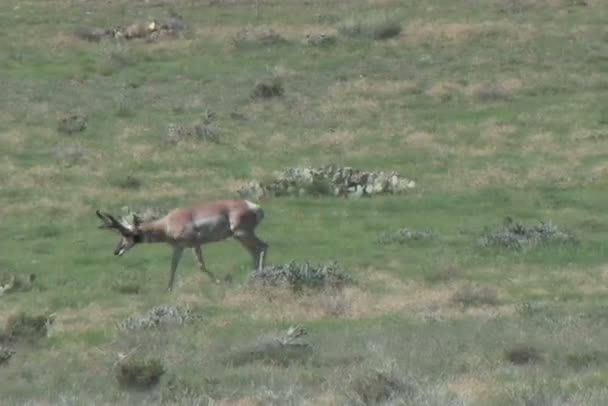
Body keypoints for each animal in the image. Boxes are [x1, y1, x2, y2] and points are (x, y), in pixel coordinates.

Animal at [96, 199, 268, 288]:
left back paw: (260, 276)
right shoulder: (178, 247)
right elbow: (173, 266)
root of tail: (252, 206)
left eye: (128, 234)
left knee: (263, 247)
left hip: (242, 234)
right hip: (240, 237)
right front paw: (168, 289)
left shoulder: (194, 244)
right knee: (255, 251)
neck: (167, 223)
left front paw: (219, 282)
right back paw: (254, 275)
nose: (116, 251)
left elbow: (201, 266)